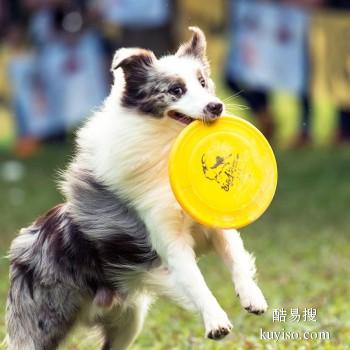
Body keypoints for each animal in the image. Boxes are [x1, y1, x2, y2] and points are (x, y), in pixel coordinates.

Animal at [4, 27, 268, 350]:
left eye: (203, 82)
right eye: (176, 90)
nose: (215, 106)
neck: (166, 146)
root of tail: (25, 240)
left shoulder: (214, 225)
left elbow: (236, 257)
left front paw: (253, 297)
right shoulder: (168, 240)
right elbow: (195, 281)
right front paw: (216, 321)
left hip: (128, 320)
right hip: (41, 323)